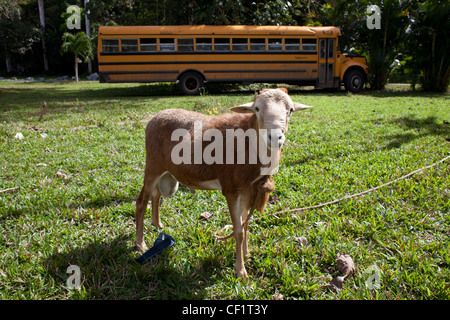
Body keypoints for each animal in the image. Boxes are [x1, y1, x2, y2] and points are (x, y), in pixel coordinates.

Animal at [134, 88, 312, 278]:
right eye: (257, 109)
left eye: (290, 110)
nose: (275, 137)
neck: (250, 144)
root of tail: (154, 117)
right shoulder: (231, 189)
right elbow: (238, 231)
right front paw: (240, 271)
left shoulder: (247, 189)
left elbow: (246, 223)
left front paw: (247, 254)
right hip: (152, 166)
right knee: (141, 201)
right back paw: (140, 244)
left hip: (164, 171)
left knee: (156, 194)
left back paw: (157, 224)